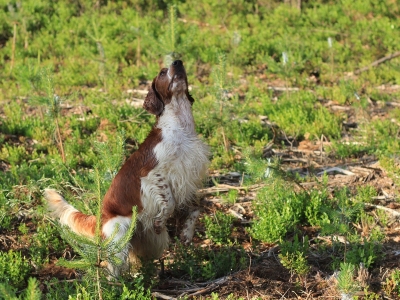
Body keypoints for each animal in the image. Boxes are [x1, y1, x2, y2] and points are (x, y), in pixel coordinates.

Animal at [44, 60, 209, 276]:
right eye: (163, 72)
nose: (178, 62)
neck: (180, 127)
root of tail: (100, 220)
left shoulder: (188, 177)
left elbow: (195, 209)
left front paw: (187, 233)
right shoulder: (153, 174)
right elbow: (169, 202)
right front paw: (161, 221)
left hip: (151, 242)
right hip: (120, 233)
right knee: (112, 267)